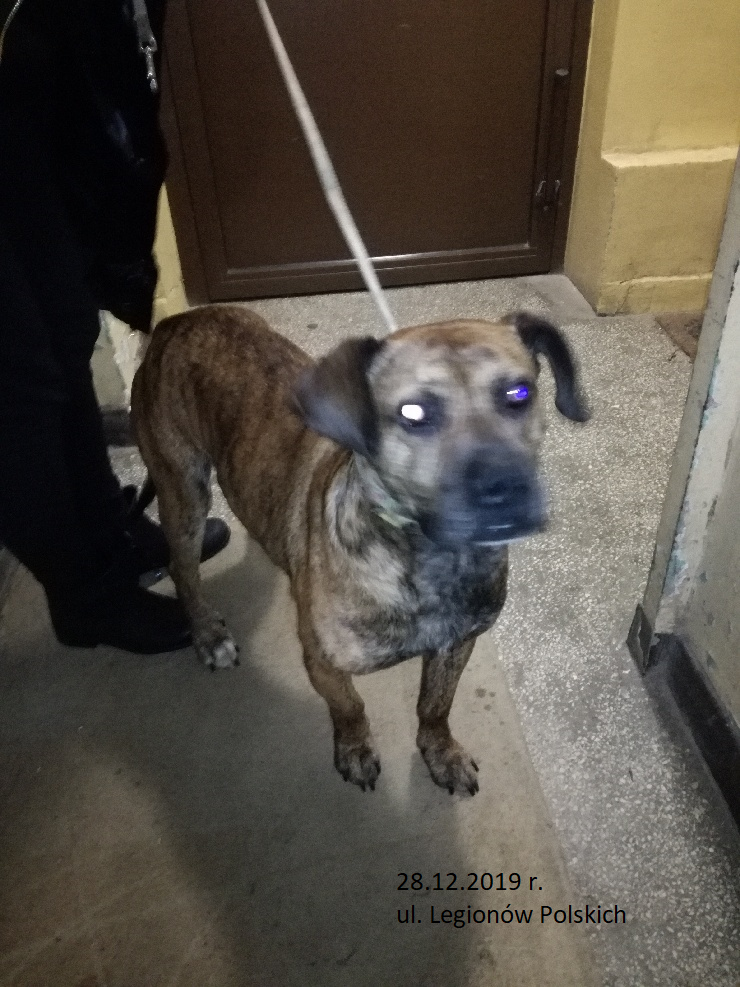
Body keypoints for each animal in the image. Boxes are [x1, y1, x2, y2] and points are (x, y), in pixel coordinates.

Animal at [131, 305, 588, 795]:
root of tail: (173, 322)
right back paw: (207, 634)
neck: (431, 560)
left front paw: (440, 751)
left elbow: (435, 705)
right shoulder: (324, 663)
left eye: (518, 393)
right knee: (182, 568)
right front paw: (355, 749)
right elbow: (351, 707)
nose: (503, 489)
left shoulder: (457, 645)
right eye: (413, 412)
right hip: (184, 491)